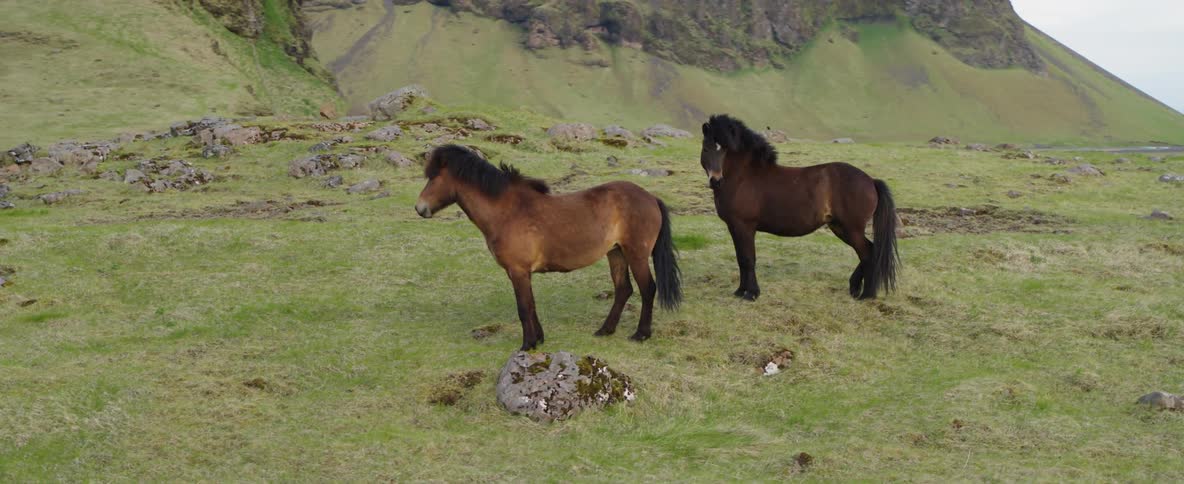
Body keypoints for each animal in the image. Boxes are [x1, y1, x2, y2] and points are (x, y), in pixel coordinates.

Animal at [415, 144, 682, 350]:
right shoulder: (522, 273)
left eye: (433, 177)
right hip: (615, 252)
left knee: (648, 289)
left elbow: (523, 307)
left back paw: (641, 334)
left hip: (636, 254)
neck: (507, 211)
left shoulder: (518, 271)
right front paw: (539, 339)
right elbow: (532, 305)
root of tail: (650, 198)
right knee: (623, 289)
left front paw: (527, 345)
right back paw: (605, 329)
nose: (420, 208)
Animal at [699, 114, 900, 301]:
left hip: (852, 229)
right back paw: (855, 288)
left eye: (724, 149)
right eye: (706, 148)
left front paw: (751, 293)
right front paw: (741, 291)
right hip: (839, 227)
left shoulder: (744, 226)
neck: (743, 177)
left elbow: (748, 259)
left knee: (868, 254)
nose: (715, 180)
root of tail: (871, 181)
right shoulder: (734, 227)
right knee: (869, 252)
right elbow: (741, 259)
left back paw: (867, 294)